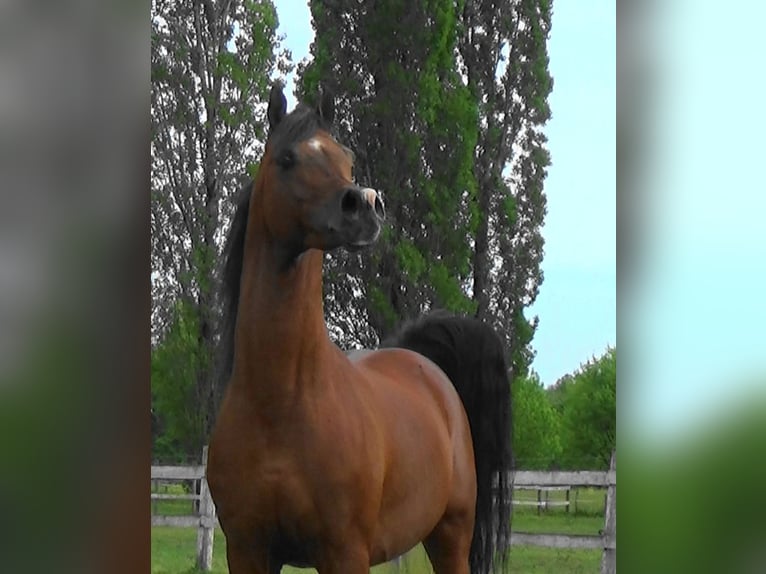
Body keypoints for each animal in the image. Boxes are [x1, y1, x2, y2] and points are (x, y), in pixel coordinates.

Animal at [207, 84, 512, 574]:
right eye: (287, 158)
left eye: (346, 158)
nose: (366, 206)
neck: (282, 403)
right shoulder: (247, 550)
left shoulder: (344, 552)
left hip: (451, 536)